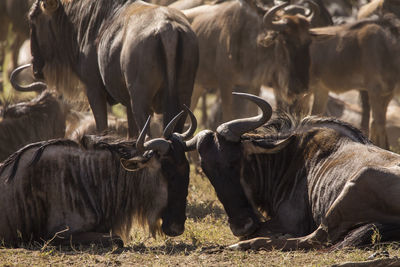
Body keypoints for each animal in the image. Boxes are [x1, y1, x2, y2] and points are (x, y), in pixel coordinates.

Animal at [0, 108, 197, 248]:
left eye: (186, 171)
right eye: (169, 173)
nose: (177, 227)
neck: (89, 177)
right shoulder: (58, 235)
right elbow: (117, 239)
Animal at [186, 93, 400, 251]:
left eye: (236, 161)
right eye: (207, 170)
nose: (241, 226)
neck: (291, 156)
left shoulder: (290, 221)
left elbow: (264, 230)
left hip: (357, 181)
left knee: (315, 238)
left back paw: (244, 244)